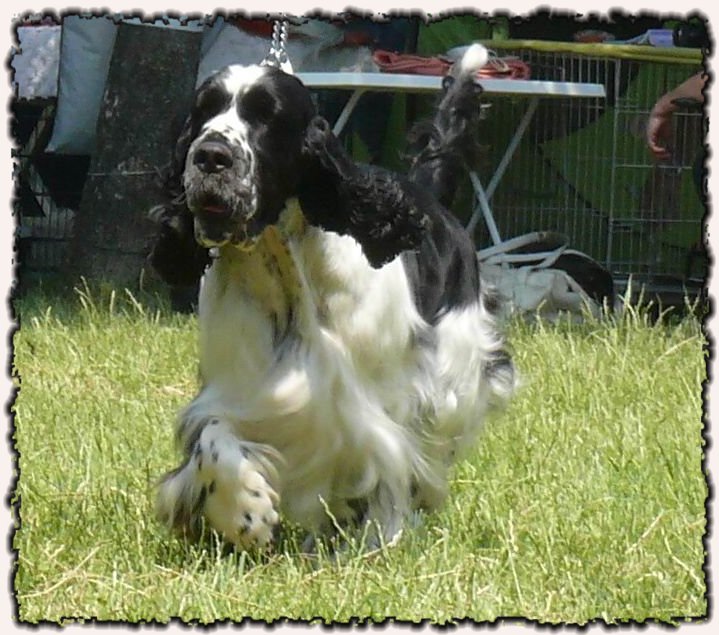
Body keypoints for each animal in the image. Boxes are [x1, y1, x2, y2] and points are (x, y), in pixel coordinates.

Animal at [149, 44, 515, 551]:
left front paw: (379, 537)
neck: (284, 269)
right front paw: (243, 511)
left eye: (268, 115)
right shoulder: (234, 388)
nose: (210, 156)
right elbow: (212, 439)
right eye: (203, 110)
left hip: (455, 371)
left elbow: (390, 463)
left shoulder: (383, 400)